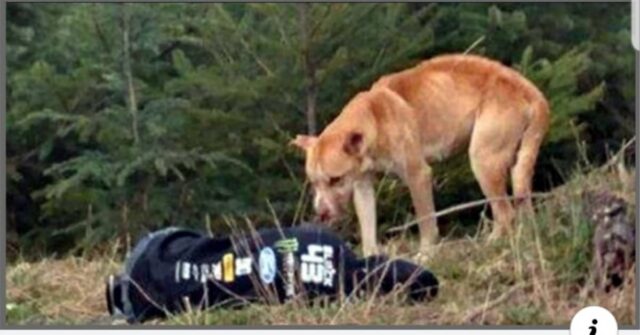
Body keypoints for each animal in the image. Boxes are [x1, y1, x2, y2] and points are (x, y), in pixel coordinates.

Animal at [292, 53, 548, 256]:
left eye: (335, 179)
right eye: (314, 183)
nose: (321, 214)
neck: (374, 118)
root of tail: (531, 91)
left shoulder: (418, 175)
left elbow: (426, 222)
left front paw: (426, 254)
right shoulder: (362, 186)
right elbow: (368, 230)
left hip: (483, 160)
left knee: (505, 213)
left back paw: (490, 244)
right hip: (515, 165)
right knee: (521, 206)